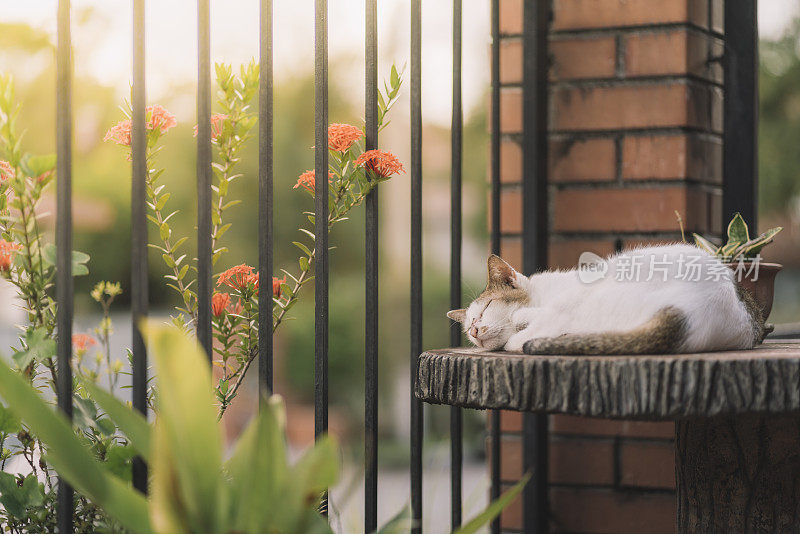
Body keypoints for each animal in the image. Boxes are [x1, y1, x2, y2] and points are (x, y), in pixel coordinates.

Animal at [446, 244, 764, 356]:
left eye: (486, 309)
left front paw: (519, 320)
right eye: (468, 327)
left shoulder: (560, 304)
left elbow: (522, 325)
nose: (474, 330)